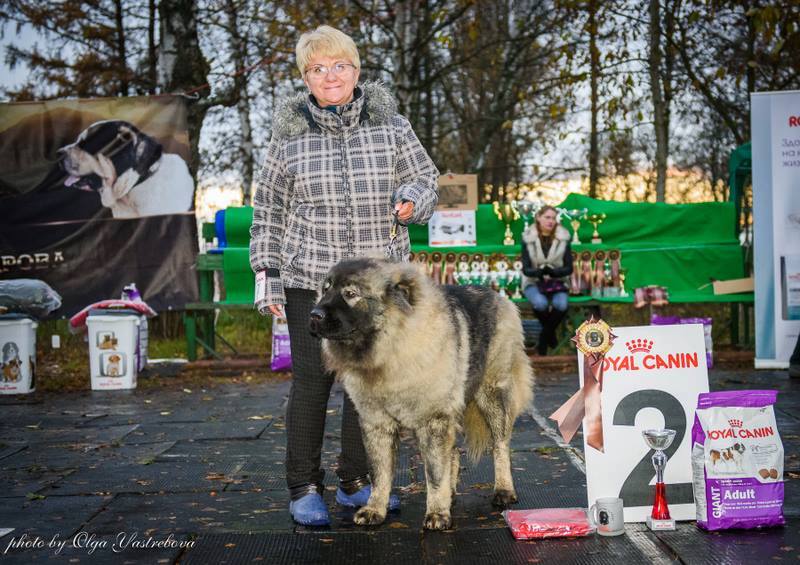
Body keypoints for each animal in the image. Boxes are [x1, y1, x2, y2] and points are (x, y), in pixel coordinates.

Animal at [310, 256, 536, 528]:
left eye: (350, 294)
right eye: (325, 290)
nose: (314, 315)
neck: (392, 347)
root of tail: (499, 297)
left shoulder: (433, 420)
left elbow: (435, 473)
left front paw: (437, 513)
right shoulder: (376, 423)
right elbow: (380, 472)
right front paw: (375, 509)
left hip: (491, 395)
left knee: (500, 445)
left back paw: (503, 490)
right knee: (454, 452)